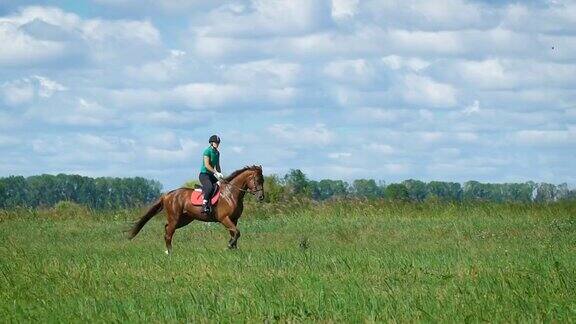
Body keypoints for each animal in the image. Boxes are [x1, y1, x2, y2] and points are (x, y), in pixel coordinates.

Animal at [129, 165, 266, 253]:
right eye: (257, 179)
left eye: (263, 180)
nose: (261, 197)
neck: (230, 193)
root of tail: (167, 194)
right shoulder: (224, 218)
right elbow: (237, 233)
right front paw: (228, 246)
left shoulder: (234, 219)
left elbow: (234, 234)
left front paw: (234, 250)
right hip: (175, 218)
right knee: (168, 233)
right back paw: (170, 253)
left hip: (184, 220)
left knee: (167, 229)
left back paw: (168, 251)